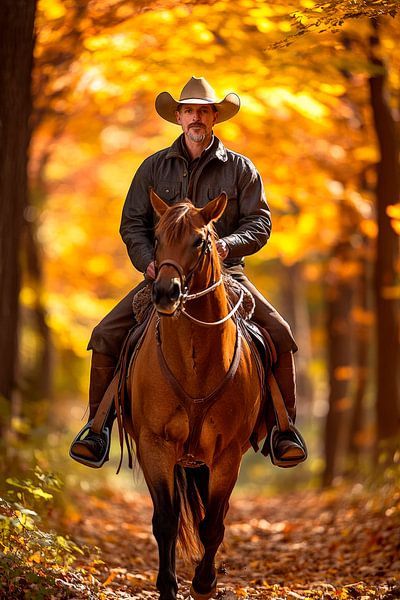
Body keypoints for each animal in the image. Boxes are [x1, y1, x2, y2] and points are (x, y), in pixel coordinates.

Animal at [128, 191, 264, 600]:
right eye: (156, 238)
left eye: (200, 242)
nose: (165, 292)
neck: (195, 363)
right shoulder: (155, 446)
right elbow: (166, 521)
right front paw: (168, 586)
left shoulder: (227, 454)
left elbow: (213, 524)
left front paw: (204, 583)